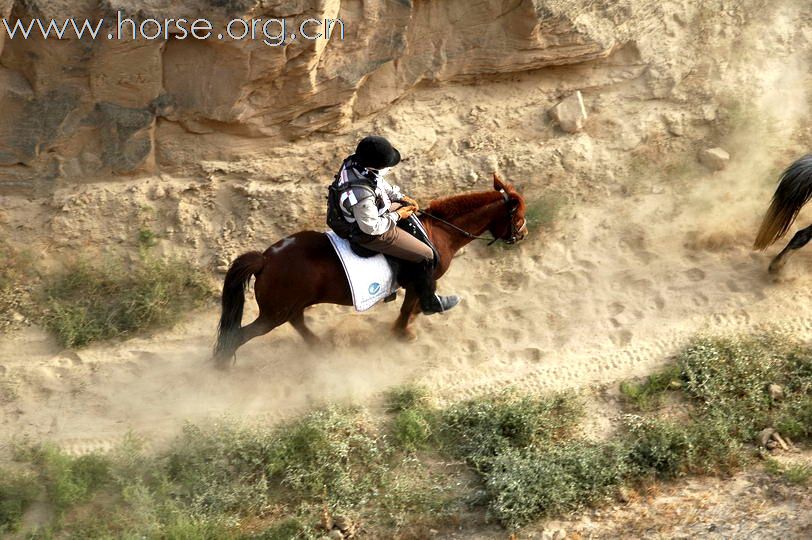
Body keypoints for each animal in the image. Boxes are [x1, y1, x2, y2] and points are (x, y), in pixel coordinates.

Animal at [213, 175, 528, 370]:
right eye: (518, 216)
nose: (522, 234)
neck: (437, 232)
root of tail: (265, 259)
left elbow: (412, 306)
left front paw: (411, 321)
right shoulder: (420, 277)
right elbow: (409, 307)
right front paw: (404, 331)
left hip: (287, 308)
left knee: (297, 321)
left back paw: (319, 347)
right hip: (273, 314)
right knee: (239, 336)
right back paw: (221, 370)